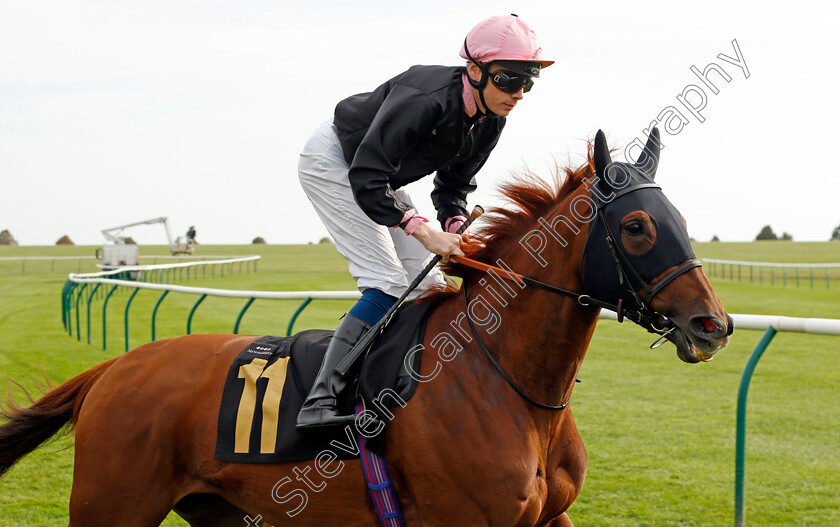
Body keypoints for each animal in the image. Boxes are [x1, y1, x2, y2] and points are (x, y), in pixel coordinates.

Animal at [1, 129, 728, 527]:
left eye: (682, 218)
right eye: (636, 226)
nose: (713, 324)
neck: (505, 379)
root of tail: (114, 368)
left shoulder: (549, 515)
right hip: (111, 504)